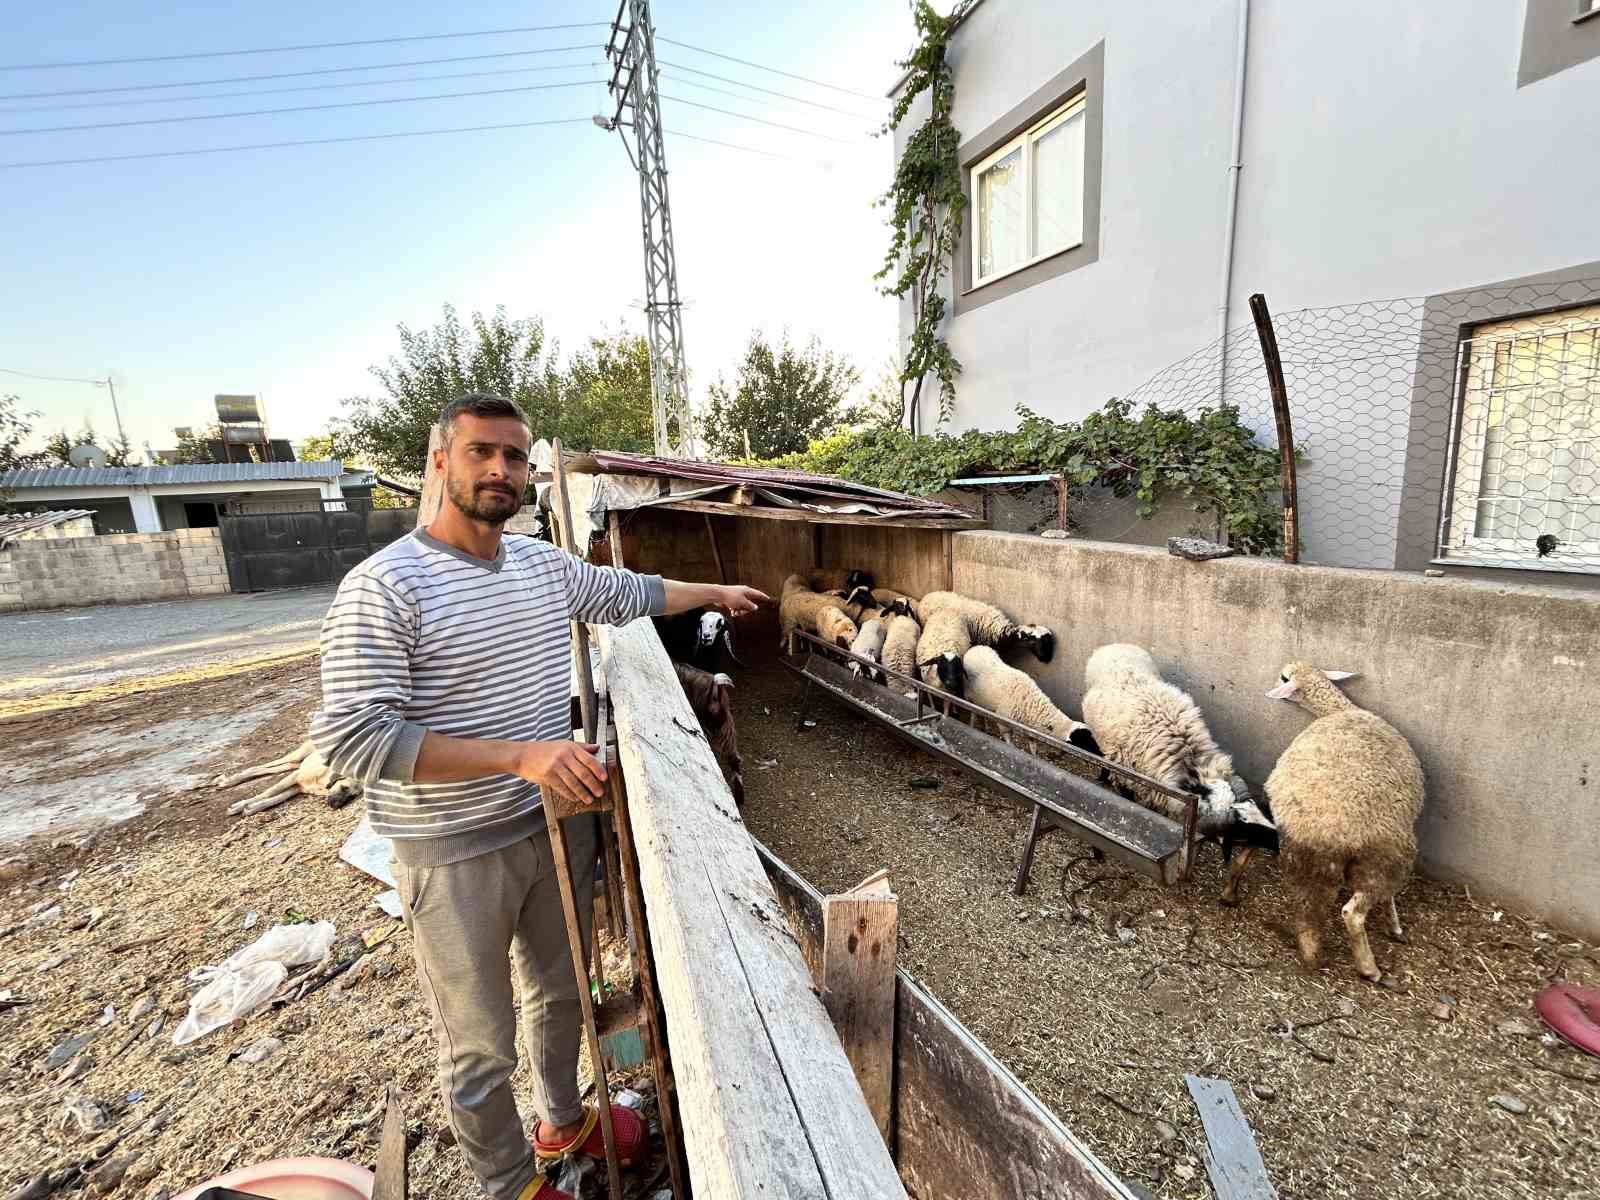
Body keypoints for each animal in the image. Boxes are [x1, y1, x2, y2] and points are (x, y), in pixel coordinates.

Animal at [212, 739, 360, 825]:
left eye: (352, 796)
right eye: (344, 787)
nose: (336, 806)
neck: (323, 784)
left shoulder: (297, 787)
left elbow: (276, 798)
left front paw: (252, 808)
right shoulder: (295, 777)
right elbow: (269, 792)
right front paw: (240, 805)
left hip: (296, 763)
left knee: (275, 768)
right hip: (299, 756)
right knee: (263, 766)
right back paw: (229, 780)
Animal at [1260, 662, 1427, 979]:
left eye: (1283, 677)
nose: (1273, 685)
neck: (1338, 709)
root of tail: (1327, 838)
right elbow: (1388, 898)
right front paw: (1395, 927)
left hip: (1304, 860)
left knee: (1308, 911)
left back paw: (1310, 951)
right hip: (1385, 857)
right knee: (1354, 912)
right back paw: (1370, 967)